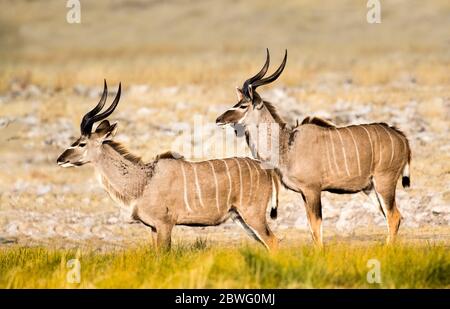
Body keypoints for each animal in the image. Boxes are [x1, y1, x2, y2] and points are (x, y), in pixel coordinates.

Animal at [57, 80, 280, 250]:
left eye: (81, 143)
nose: (60, 159)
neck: (143, 180)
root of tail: (266, 171)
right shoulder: (153, 228)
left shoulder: (165, 224)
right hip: (241, 218)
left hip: (253, 215)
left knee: (273, 241)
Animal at [217, 49, 412, 244]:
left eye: (243, 105)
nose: (219, 119)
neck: (286, 146)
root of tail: (401, 138)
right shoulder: (304, 193)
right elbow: (312, 227)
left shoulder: (313, 190)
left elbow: (317, 227)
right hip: (370, 188)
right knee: (391, 216)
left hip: (384, 182)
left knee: (394, 216)